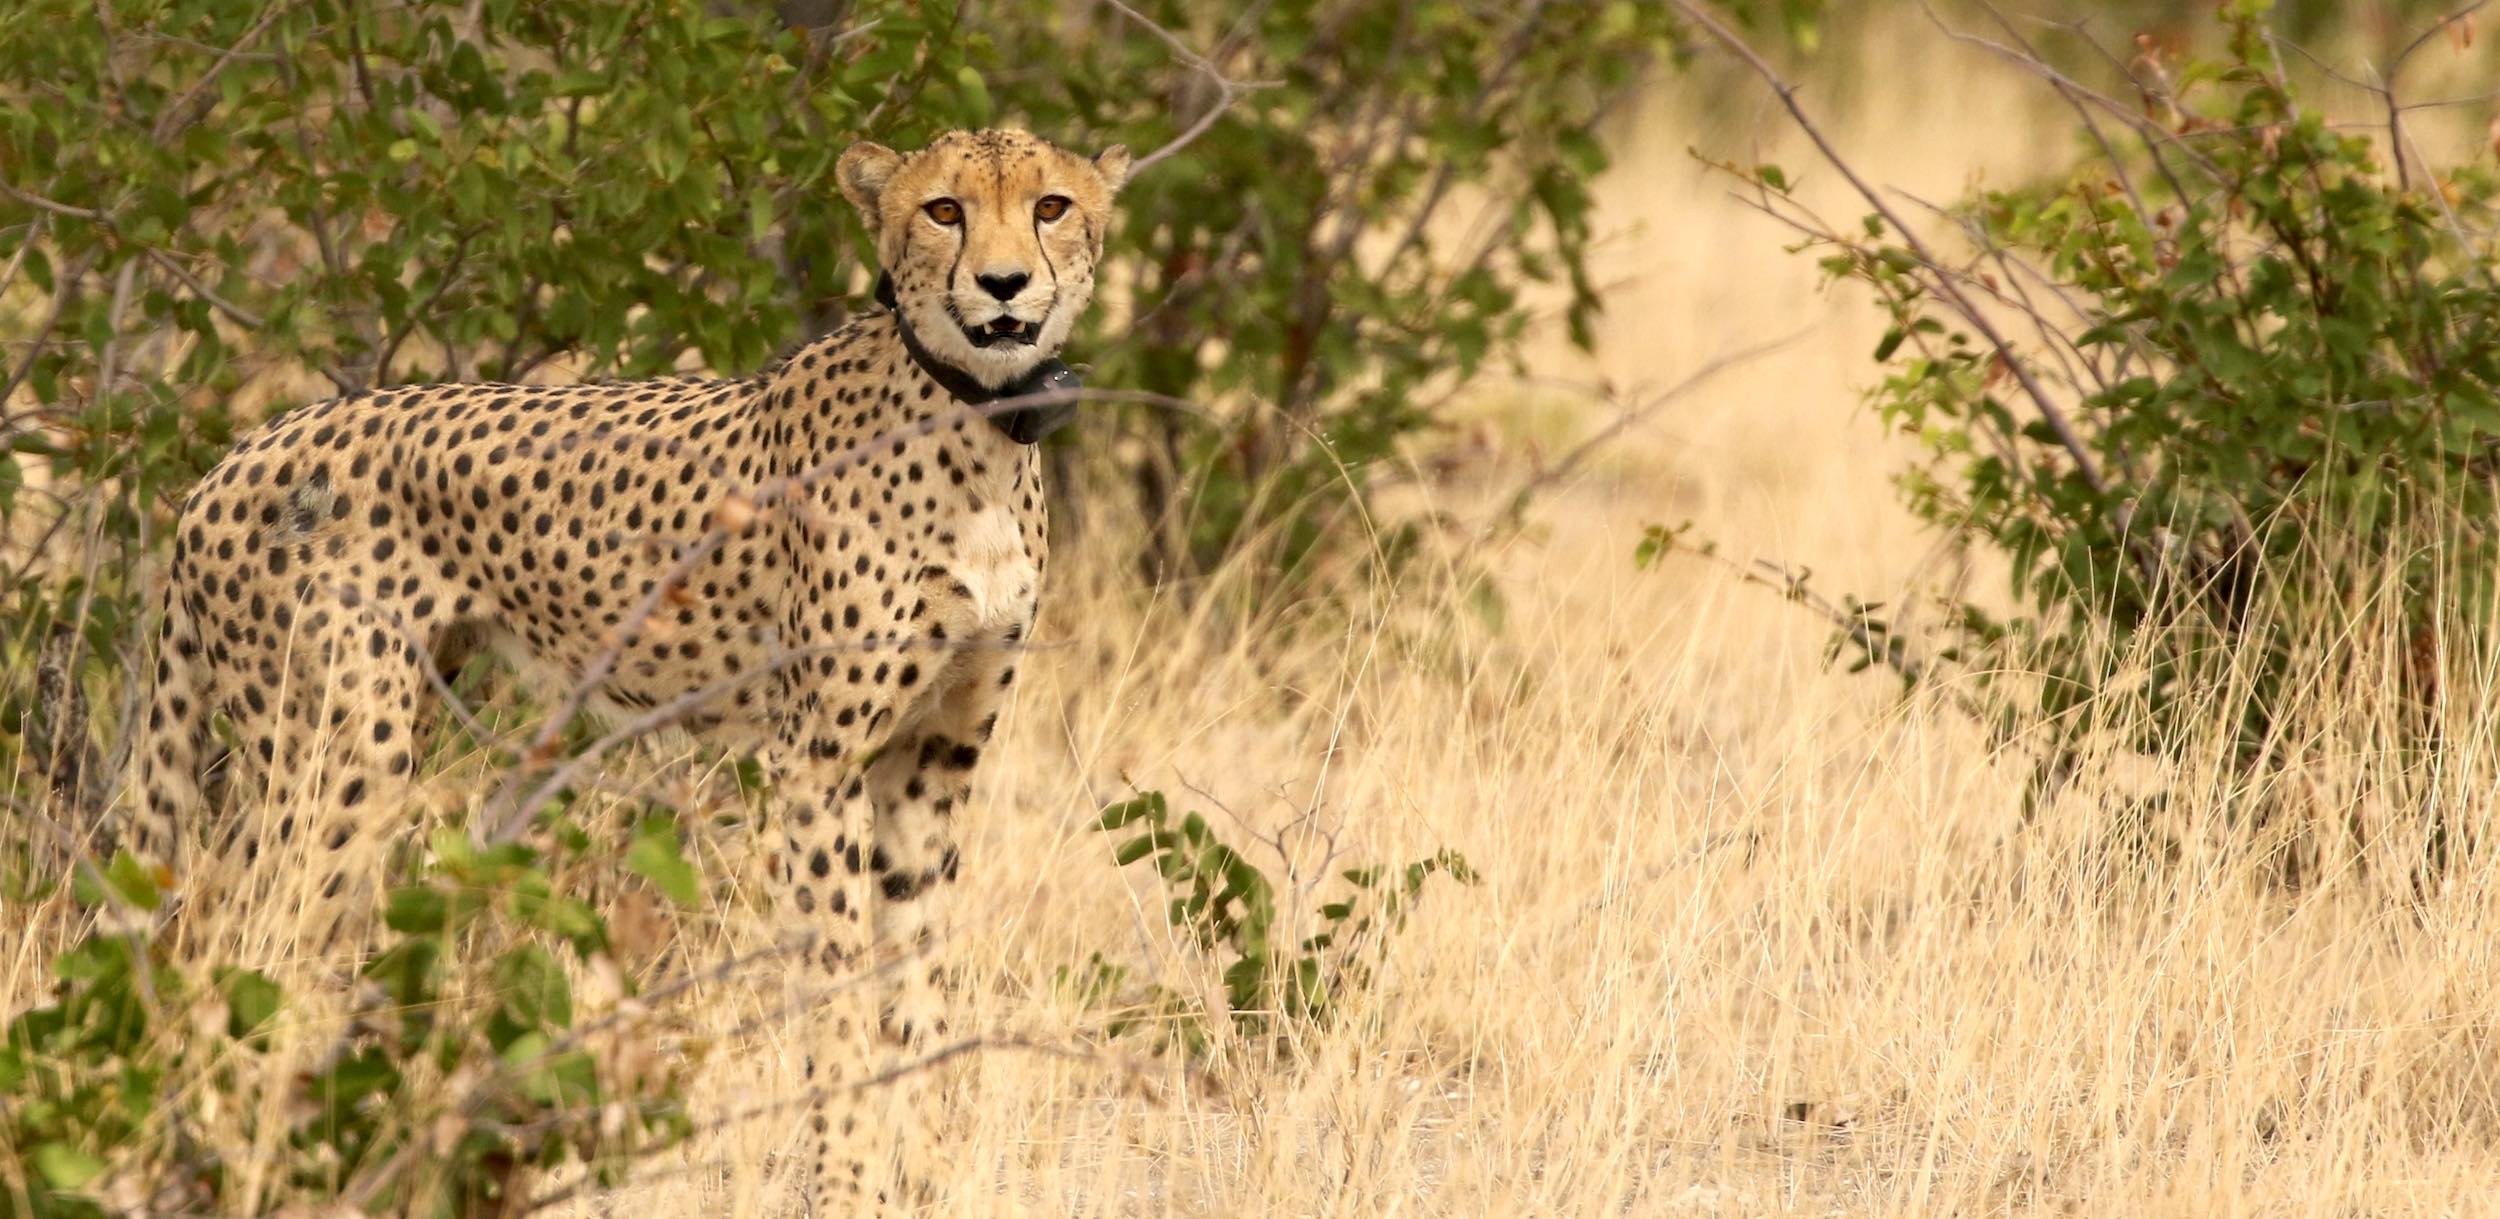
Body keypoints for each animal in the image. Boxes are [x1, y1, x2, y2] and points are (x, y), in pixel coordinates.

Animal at [130, 126, 1132, 1213]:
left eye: (1050, 206)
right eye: (945, 209)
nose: (1003, 284)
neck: (974, 427)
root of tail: (232, 455)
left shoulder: (933, 758)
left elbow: (914, 985)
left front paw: (924, 1175)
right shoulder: (814, 763)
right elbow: (833, 982)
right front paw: (843, 1178)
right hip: (342, 751)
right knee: (240, 937)